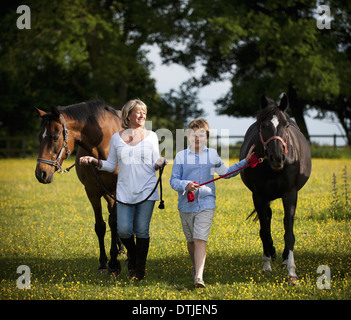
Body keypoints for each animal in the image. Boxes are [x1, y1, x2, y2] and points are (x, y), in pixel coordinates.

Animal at [35, 101, 124, 274]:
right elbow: (100, 226)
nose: (41, 173)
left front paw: (114, 263)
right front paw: (103, 262)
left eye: (55, 137)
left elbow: (114, 222)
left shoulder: (118, 190)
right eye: (39, 137)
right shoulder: (92, 192)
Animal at [241, 93, 312, 284]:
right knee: (268, 218)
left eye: (285, 126)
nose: (277, 158)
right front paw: (266, 264)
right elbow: (264, 230)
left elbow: (289, 231)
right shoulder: (258, 196)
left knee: (285, 223)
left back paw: (285, 258)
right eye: (263, 126)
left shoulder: (290, 194)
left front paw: (291, 272)